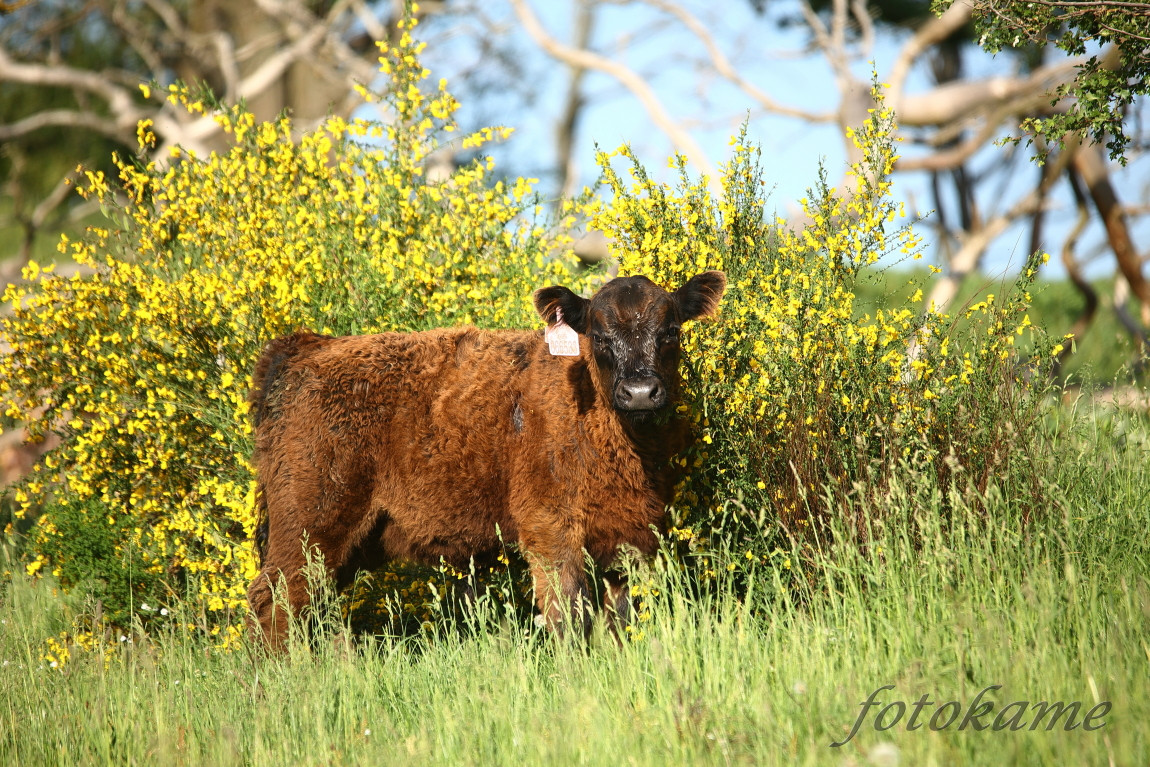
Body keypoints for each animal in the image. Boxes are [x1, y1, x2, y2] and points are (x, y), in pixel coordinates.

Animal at [246, 272, 722, 643]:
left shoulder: (630, 538)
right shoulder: (551, 534)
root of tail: (306, 349)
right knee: (274, 602)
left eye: (671, 331)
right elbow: (567, 617)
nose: (640, 392)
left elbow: (618, 621)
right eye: (600, 337)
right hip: (309, 526)